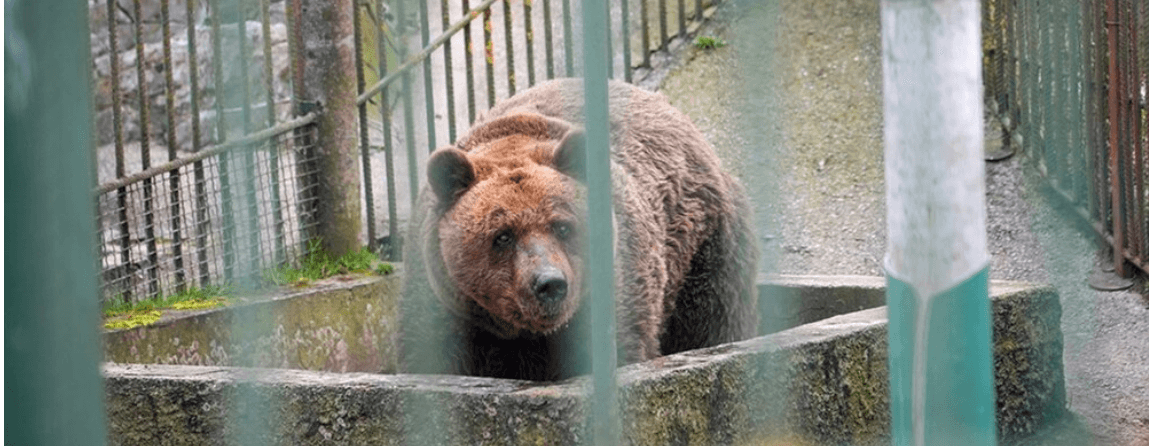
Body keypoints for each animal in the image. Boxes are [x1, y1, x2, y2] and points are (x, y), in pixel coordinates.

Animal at [400, 78, 758, 381]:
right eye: (502, 235)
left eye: (563, 226)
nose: (550, 284)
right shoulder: (447, 304)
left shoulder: (613, 283)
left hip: (702, 245)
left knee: (713, 318)